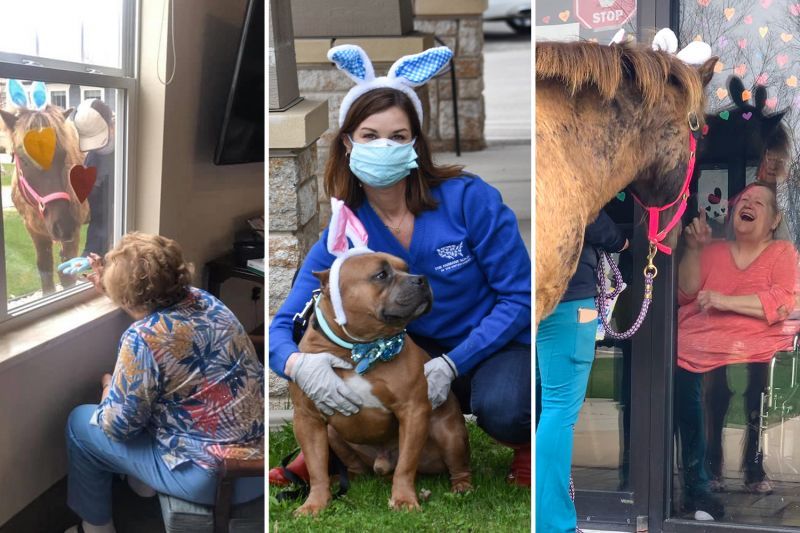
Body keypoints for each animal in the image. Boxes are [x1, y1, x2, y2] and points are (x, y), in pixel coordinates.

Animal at [1, 104, 88, 296]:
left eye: (63, 155)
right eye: (24, 159)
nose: (64, 225)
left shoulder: (75, 232)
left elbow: (67, 272)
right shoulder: (34, 231)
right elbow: (45, 268)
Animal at [290, 251, 472, 512]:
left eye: (407, 268)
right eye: (381, 275)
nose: (422, 279)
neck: (356, 349)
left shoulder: (413, 411)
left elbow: (406, 465)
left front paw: (404, 499)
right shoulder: (307, 418)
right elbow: (316, 468)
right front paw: (315, 504)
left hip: (451, 434)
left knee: (456, 466)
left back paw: (461, 488)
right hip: (334, 434)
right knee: (354, 467)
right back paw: (344, 480)